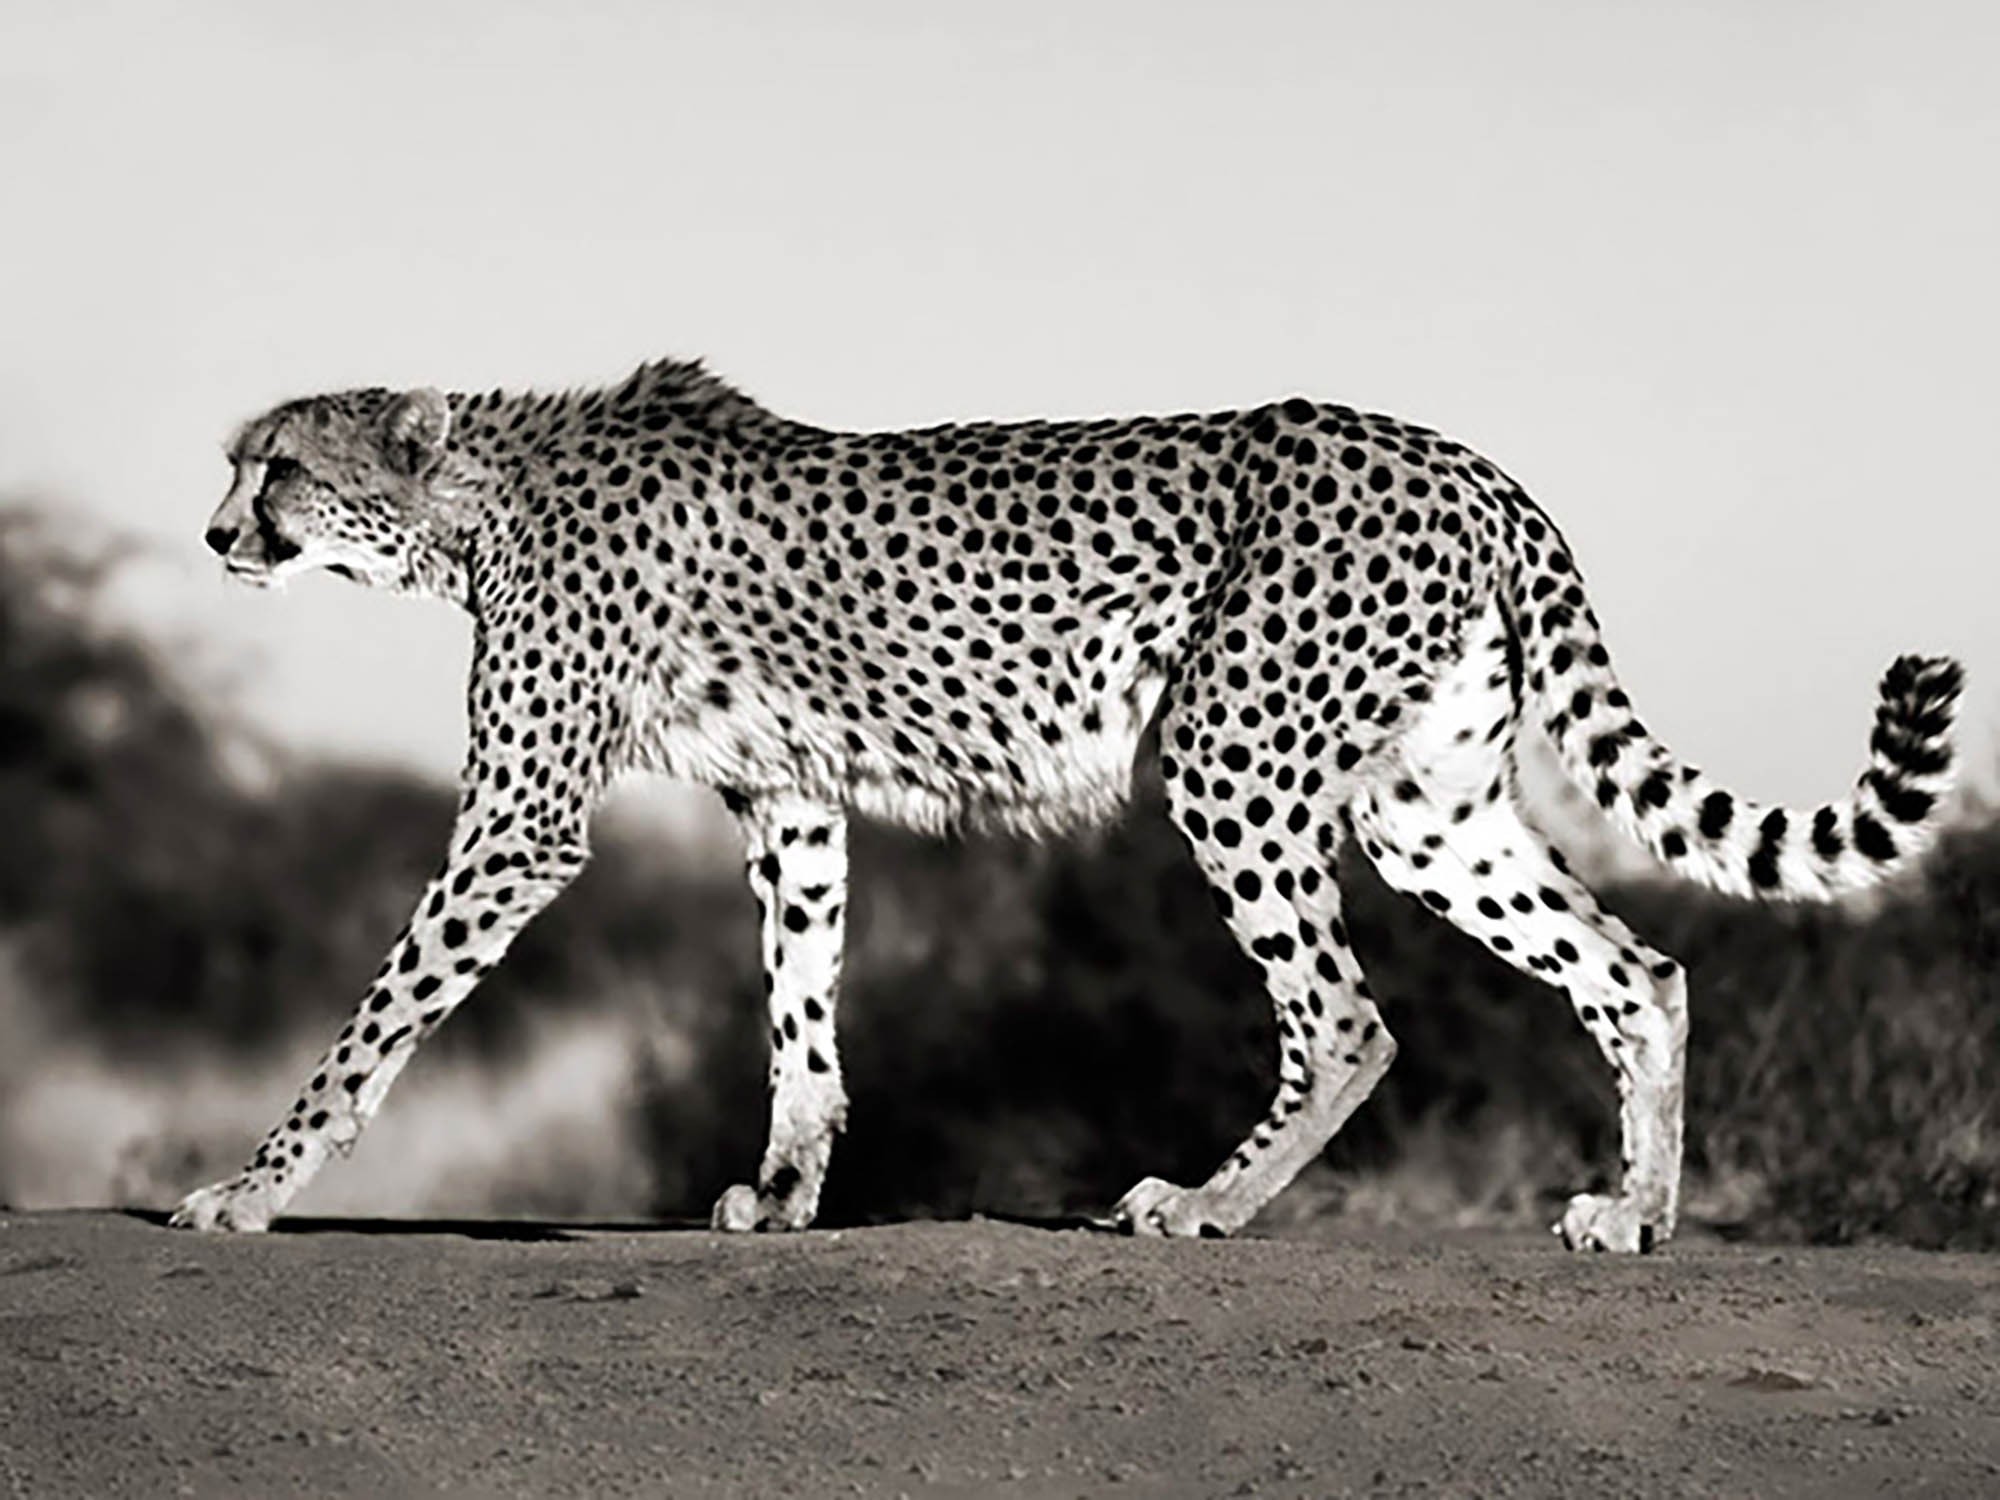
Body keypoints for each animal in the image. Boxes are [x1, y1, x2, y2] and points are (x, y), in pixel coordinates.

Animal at [173, 357, 1964, 1250]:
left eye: (278, 469)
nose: (213, 536)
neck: (481, 498)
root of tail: (1459, 456)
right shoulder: (792, 798)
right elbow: (801, 1009)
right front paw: (787, 1192)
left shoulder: (525, 816)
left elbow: (379, 1019)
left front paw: (249, 1189)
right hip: (1427, 806)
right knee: (1639, 968)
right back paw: (1636, 1214)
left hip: (1230, 752)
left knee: (1348, 1016)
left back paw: (1206, 1202)